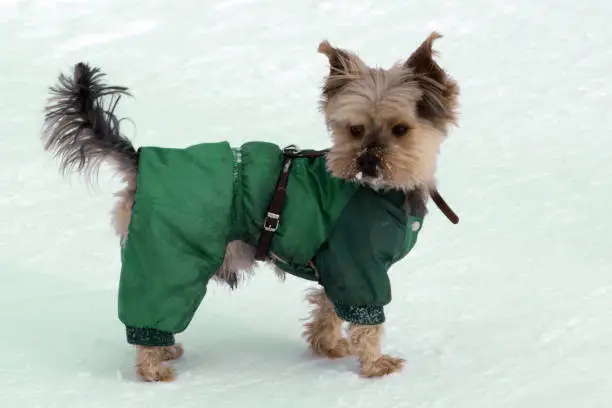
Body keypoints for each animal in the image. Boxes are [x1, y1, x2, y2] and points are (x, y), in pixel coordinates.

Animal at [39, 32, 460, 382]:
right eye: (355, 130)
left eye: (400, 130)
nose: (367, 162)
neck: (381, 191)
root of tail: (140, 158)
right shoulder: (360, 268)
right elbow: (366, 321)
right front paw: (375, 365)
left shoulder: (336, 264)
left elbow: (327, 306)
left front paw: (327, 345)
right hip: (170, 256)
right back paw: (152, 367)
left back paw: (163, 351)